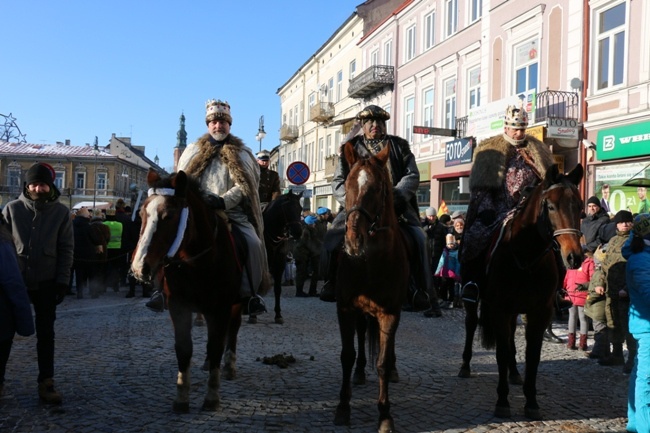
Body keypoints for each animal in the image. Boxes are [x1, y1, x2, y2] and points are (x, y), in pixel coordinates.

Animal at [130, 169, 242, 412]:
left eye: (169, 216)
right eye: (142, 213)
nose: (139, 267)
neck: (196, 263)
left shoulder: (220, 309)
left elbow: (216, 345)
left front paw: (212, 396)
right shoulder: (178, 307)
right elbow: (184, 348)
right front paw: (181, 397)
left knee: (232, 331)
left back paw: (229, 366)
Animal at [262, 191, 302, 322]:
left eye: (300, 208)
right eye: (288, 209)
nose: (298, 232)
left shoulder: (279, 266)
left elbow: (277, 290)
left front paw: (278, 314)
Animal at [332, 142, 408, 432]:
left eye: (377, 189)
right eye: (347, 185)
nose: (354, 241)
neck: (369, 262)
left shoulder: (390, 313)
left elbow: (383, 363)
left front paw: (385, 415)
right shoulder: (345, 309)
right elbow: (347, 355)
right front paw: (343, 408)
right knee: (362, 336)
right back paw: (360, 372)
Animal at [456, 163, 584, 418]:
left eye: (580, 206)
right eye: (551, 206)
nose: (574, 256)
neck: (526, 256)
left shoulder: (539, 312)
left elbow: (532, 356)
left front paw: (531, 402)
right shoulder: (500, 309)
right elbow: (501, 352)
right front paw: (503, 401)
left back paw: (514, 372)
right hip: (472, 297)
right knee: (471, 324)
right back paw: (465, 365)